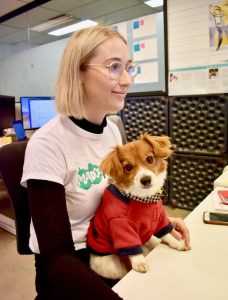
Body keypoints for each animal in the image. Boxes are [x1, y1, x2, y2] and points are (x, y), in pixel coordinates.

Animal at [87, 132, 191, 280]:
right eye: (128, 167)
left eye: (149, 159)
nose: (145, 180)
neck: (144, 199)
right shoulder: (121, 225)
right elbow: (131, 244)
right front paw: (139, 261)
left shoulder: (160, 218)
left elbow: (166, 233)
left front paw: (177, 243)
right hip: (112, 266)